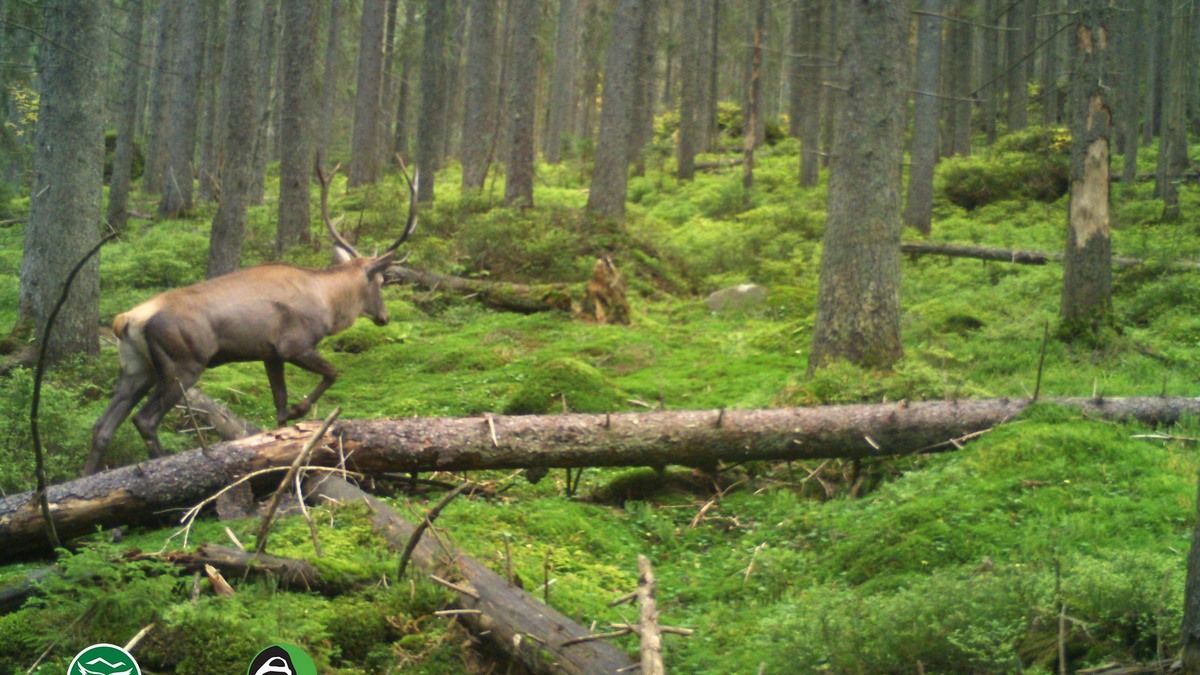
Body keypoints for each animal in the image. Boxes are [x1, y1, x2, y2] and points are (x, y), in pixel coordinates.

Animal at [85, 163, 418, 475]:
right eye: (382, 281)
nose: (385, 316)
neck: (328, 303)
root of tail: (125, 321)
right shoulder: (293, 345)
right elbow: (332, 373)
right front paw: (299, 410)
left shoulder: (269, 354)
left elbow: (279, 404)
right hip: (183, 363)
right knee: (145, 420)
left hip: (138, 368)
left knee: (102, 426)